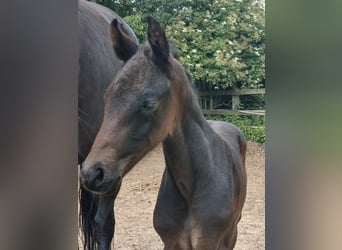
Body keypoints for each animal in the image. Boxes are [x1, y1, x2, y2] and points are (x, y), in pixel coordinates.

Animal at [80, 16, 246, 249]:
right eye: (107, 96)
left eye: (149, 103)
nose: (92, 173)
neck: (190, 186)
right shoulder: (171, 242)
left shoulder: (212, 242)